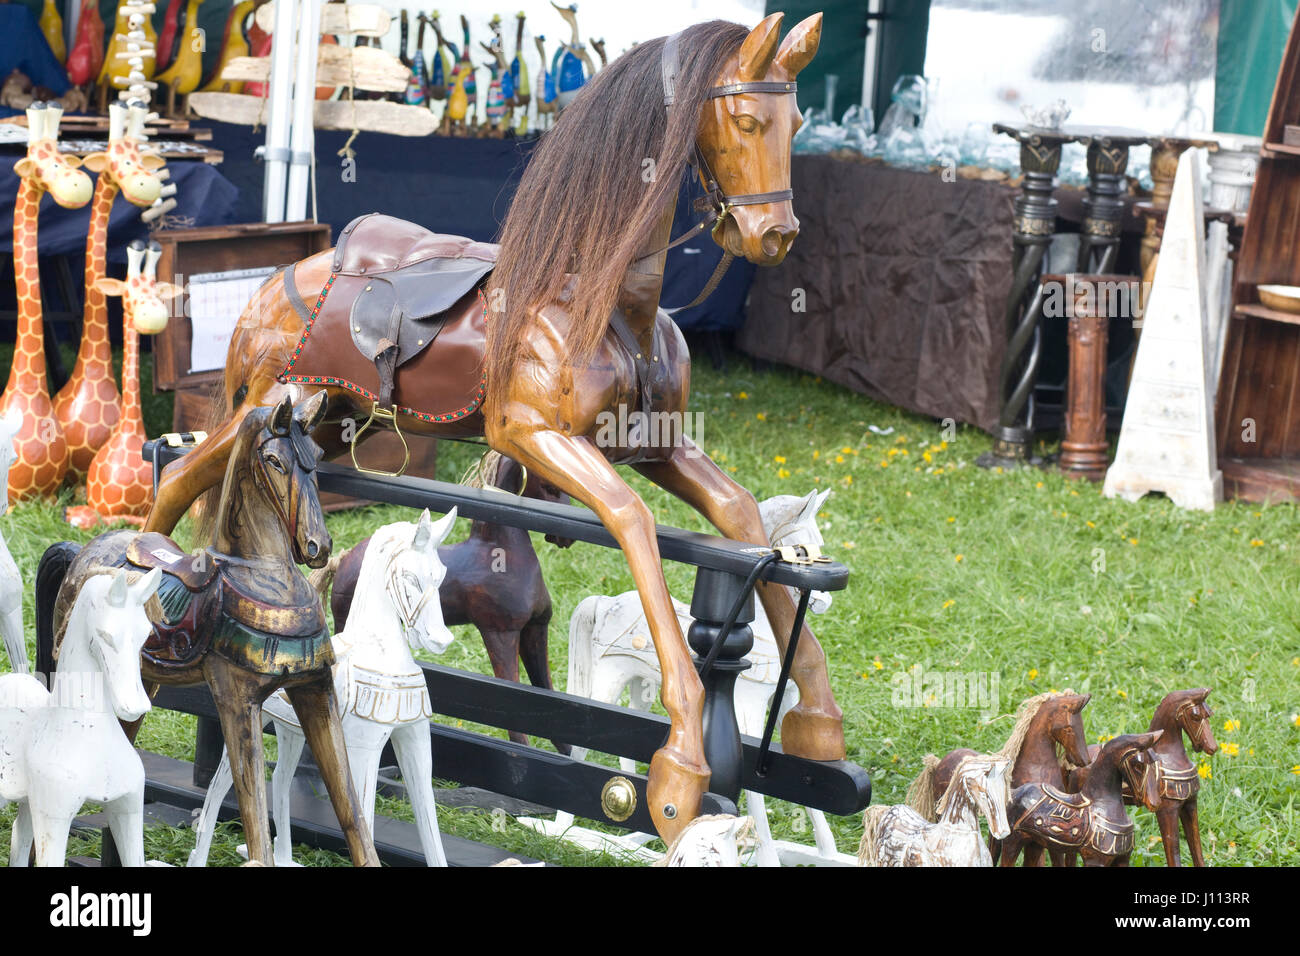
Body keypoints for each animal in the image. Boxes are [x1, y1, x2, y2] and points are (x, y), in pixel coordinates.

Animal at [48, 395, 379, 868]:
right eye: (274, 461)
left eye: (316, 457)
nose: (318, 547)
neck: (266, 577)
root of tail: (88, 548)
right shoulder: (237, 699)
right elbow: (256, 823)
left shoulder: (316, 687)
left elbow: (352, 811)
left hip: (143, 683)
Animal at [325, 452, 569, 749]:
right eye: (549, 485)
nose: (564, 538)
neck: (502, 558)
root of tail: (342, 561)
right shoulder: (500, 633)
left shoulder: (536, 627)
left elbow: (545, 693)